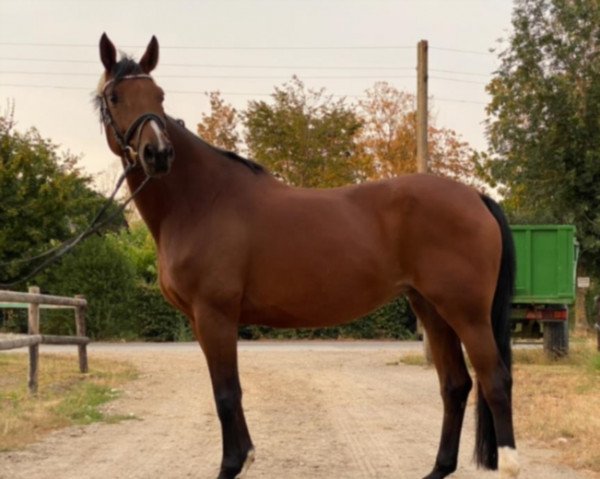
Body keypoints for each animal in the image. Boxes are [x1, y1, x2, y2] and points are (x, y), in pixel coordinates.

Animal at [96, 34, 516, 479]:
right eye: (115, 96)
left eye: (158, 96)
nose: (158, 154)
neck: (201, 201)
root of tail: (476, 196)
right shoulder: (200, 320)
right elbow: (230, 391)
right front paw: (245, 456)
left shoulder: (215, 315)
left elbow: (225, 393)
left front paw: (231, 464)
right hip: (431, 308)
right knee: (456, 384)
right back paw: (438, 468)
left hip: (466, 312)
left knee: (495, 381)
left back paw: (509, 463)